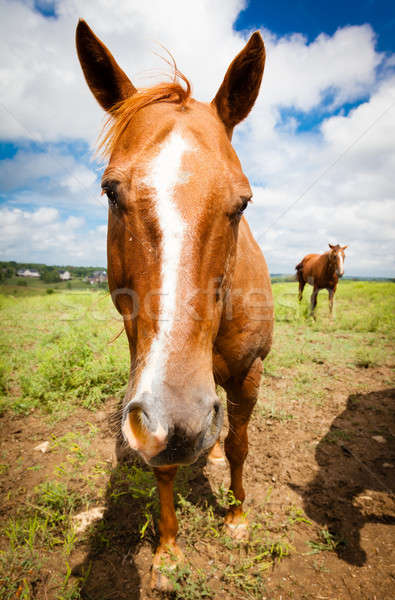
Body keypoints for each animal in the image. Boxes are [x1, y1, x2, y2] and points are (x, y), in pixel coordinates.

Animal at [76, 19, 274, 592]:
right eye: (110, 190)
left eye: (243, 202)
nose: (181, 421)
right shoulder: (148, 399)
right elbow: (163, 465)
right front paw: (167, 552)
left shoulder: (249, 373)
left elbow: (240, 445)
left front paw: (237, 516)